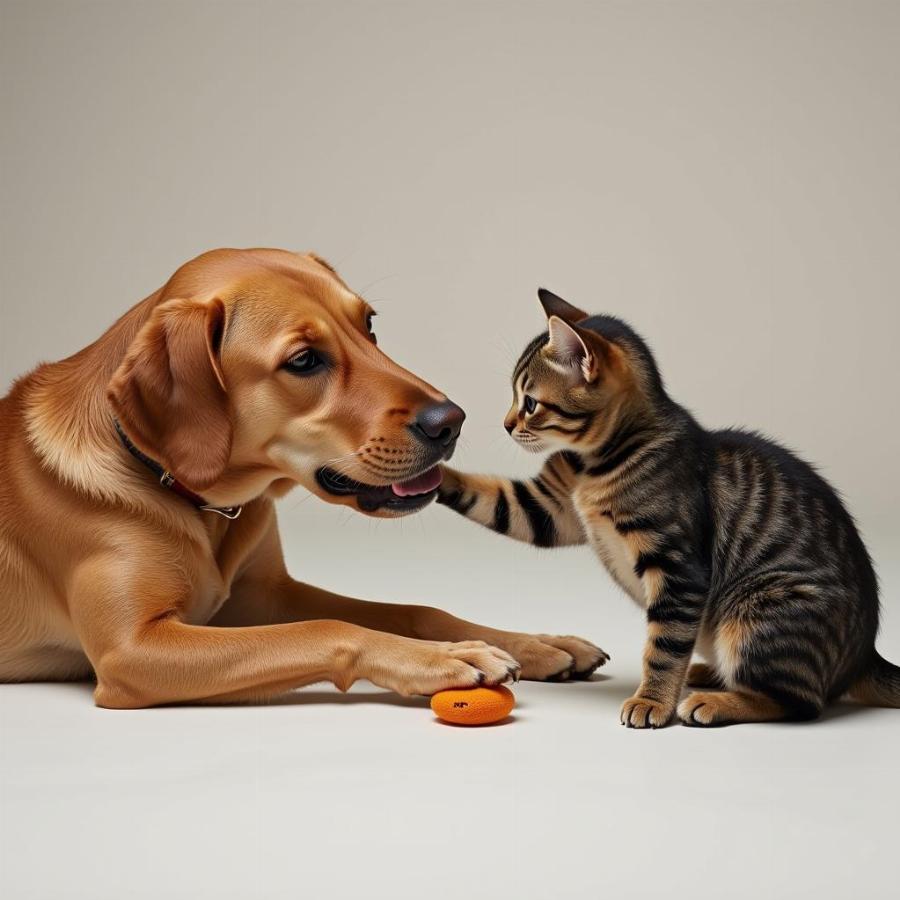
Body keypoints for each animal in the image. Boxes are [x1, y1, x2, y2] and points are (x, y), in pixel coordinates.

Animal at [0, 250, 608, 708]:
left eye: (369, 324)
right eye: (303, 361)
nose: (452, 421)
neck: (198, 504)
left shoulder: (265, 597)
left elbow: (414, 610)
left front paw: (532, 643)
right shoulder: (131, 650)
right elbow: (328, 628)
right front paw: (447, 658)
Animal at [438, 292, 900, 728]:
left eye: (530, 403)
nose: (506, 424)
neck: (591, 466)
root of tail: (865, 655)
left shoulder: (677, 568)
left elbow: (664, 645)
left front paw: (652, 701)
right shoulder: (551, 508)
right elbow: (491, 498)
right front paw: (435, 474)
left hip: (760, 612)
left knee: (801, 702)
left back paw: (714, 701)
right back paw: (709, 676)